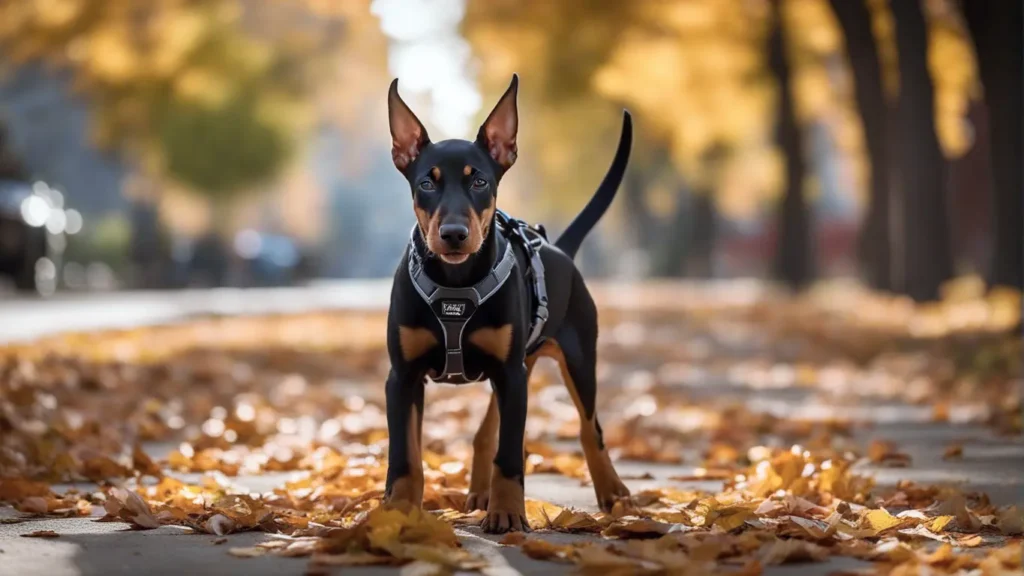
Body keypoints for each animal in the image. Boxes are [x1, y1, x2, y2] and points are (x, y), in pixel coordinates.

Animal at [382, 73, 630, 532]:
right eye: (427, 182)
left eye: (479, 181)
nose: (455, 234)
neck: (456, 284)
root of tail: (559, 249)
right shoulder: (403, 376)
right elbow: (405, 457)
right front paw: (398, 514)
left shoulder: (512, 376)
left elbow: (511, 454)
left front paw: (509, 514)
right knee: (486, 431)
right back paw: (479, 492)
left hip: (575, 358)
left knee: (590, 429)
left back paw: (613, 492)